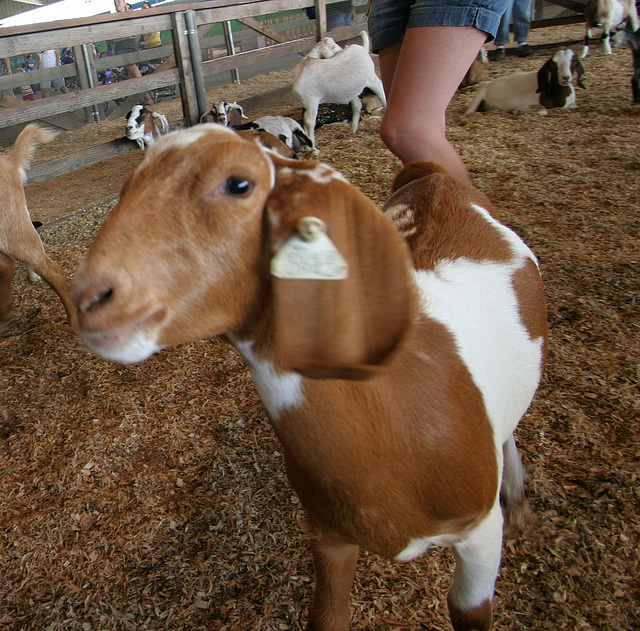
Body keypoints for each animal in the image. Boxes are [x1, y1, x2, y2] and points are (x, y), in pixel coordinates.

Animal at [72, 123, 548, 631]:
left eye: (238, 184)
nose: (89, 299)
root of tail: (437, 177)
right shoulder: (328, 533)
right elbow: (328, 616)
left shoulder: (480, 533)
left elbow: (468, 609)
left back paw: (515, 488)